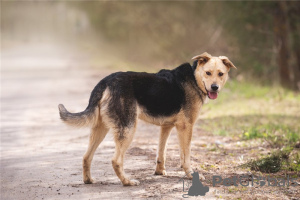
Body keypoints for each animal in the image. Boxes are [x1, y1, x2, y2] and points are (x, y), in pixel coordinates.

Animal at [58, 52, 237, 186]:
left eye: (221, 74)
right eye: (208, 73)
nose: (215, 87)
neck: (195, 78)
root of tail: (105, 82)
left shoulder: (167, 126)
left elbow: (161, 152)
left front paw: (160, 172)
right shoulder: (186, 127)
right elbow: (185, 156)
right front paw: (190, 175)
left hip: (101, 129)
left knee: (86, 156)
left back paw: (88, 180)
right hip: (128, 129)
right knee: (116, 160)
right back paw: (127, 182)